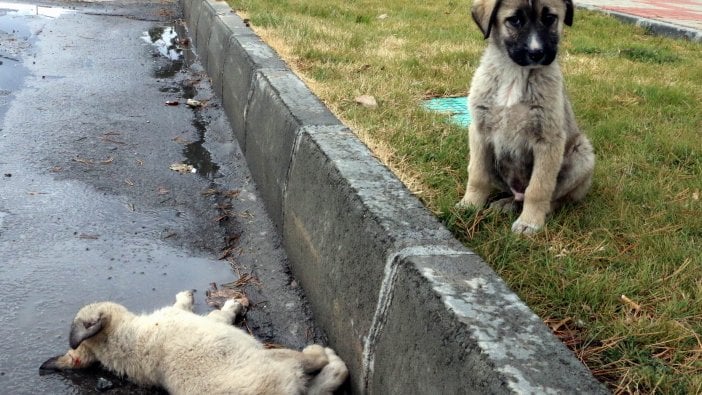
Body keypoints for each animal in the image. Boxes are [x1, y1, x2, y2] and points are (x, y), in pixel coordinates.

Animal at [41, 290, 350, 395]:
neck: (125, 342)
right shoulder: (209, 323)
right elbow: (218, 313)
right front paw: (231, 305)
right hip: (272, 360)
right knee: (314, 365)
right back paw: (330, 359)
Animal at [460, 0, 596, 234]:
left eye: (549, 18)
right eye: (514, 20)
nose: (536, 53)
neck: (515, 76)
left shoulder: (548, 140)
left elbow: (539, 188)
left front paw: (530, 222)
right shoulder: (479, 131)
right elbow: (477, 174)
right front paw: (470, 204)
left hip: (583, 154)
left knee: (552, 198)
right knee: (515, 195)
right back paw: (505, 203)